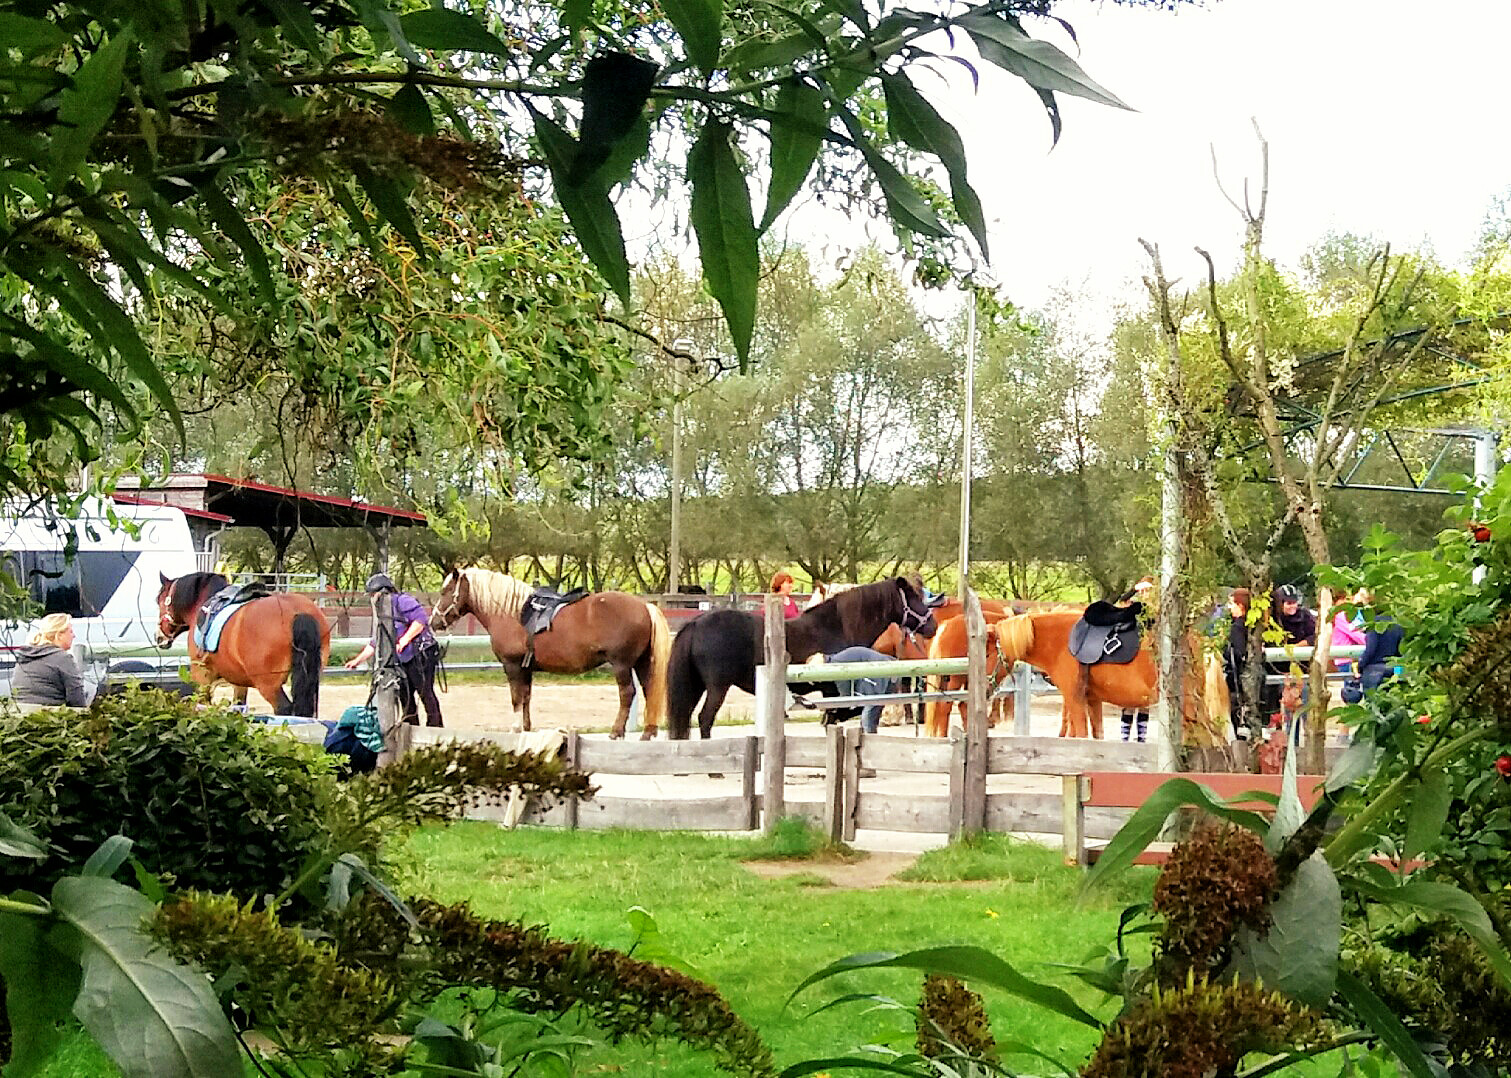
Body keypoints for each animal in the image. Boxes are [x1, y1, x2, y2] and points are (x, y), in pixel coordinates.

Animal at [156, 572, 330, 716]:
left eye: (160, 601)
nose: (158, 637)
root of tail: (297, 612)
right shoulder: (239, 682)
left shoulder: (202, 675)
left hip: (269, 685)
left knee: (284, 709)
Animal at [429, 568, 672, 739]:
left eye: (445, 591)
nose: (433, 622)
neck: (511, 613)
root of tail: (645, 607)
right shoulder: (526, 668)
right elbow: (526, 697)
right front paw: (526, 728)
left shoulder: (512, 666)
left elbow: (516, 698)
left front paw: (515, 728)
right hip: (641, 662)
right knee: (649, 690)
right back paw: (648, 733)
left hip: (621, 664)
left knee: (627, 694)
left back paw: (616, 731)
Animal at [666, 577, 939, 739]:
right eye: (914, 598)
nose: (933, 626)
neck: (838, 627)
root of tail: (696, 624)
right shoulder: (833, 690)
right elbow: (841, 714)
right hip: (717, 687)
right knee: (704, 719)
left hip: (697, 685)